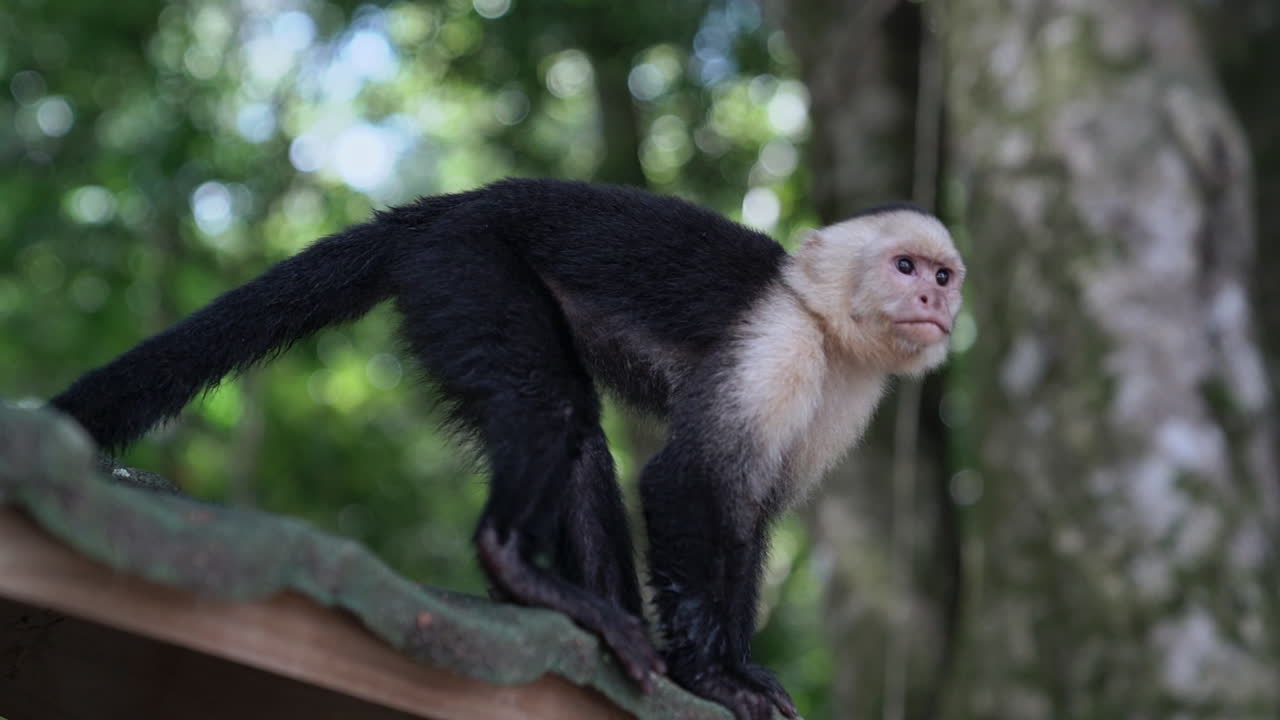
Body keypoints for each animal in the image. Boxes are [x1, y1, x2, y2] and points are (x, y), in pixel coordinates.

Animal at [50, 178, 965, 720]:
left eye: (943, 275)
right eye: (904, 266)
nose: (932, 300)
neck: (827, 326)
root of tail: (446, 207)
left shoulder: (849, 390)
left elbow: (749, 514)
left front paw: (732, 664)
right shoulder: (779, 345)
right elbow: (685, 481)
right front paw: (711, 676)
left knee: (577, 435)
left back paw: (608, 621)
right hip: (462, 269)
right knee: (548, 405)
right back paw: (515, 565)